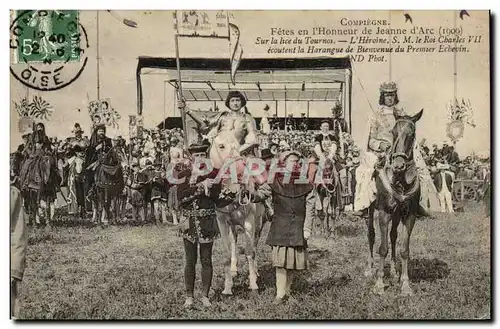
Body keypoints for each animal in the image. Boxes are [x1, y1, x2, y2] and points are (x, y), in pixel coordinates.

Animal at [209, 129, 268, 294]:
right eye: (221, 146)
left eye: (237, 146)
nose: (238, 173)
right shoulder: (222, 222)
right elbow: (227, 254)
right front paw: (227, 287)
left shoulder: (249, 222)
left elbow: (249, 252)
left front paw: (253, 283)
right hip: (232, 225)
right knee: (234, 241)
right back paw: (234, 270)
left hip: (258, 223)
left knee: (254, 245)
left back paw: (256, 272)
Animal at [368, 109, 422, 294]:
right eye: (393, 132)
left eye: (412, 134)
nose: (399, 165)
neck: (400, 181)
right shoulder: (384, 213)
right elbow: (382, 248)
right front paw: (378, 284)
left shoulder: (409, 215)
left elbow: (404, 249)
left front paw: (405, 284)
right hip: (371, 211)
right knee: (371, 235)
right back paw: (370, 269)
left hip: (397, 214)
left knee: (392, 236)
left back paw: (392, 271)